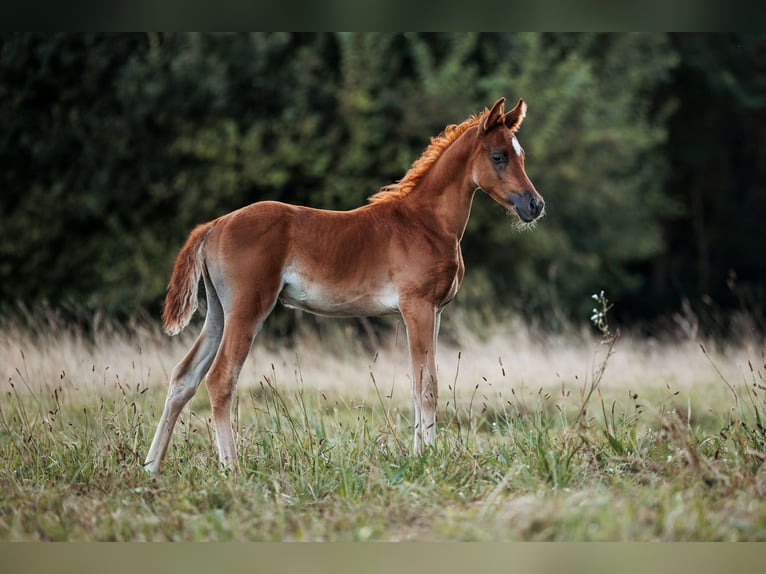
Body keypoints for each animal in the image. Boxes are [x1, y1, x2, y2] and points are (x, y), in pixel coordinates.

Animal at [142, 98, 540, 472]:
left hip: (218, 313)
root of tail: (214, 225)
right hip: (247, 309)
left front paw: (421, 454)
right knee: (220, 378)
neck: (425, 223)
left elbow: (418, 384)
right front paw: (427, 458)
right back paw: (231, 467)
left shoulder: (435, 312)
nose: (535, 205)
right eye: (499, 156)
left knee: (184, 377)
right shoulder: (417, 308)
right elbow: (426, 385)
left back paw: (151, 467)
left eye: (520, 155)